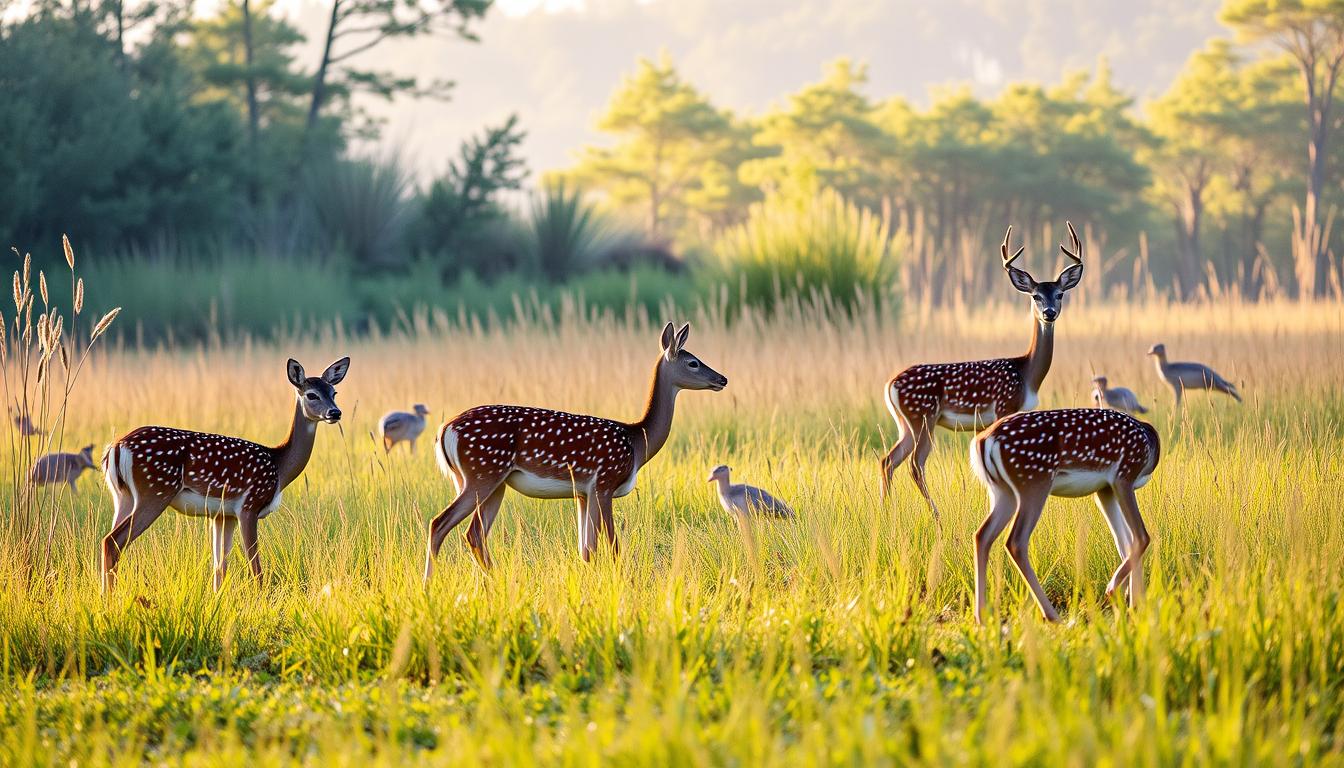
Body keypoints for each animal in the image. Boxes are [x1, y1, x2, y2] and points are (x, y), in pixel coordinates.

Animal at [100, 357, 352, 591]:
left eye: (334, 392)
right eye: (311, 395)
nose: (335, 412)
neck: (278, 466)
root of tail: (116, 447)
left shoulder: (223, 514)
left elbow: (220, 566)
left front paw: (217, 600)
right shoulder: (249, 505)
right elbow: (255, 567)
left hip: (122, 496)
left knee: (107, 542)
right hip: (155, 491)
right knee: (113, 541)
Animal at [424, 321, 731, 581]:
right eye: (693, 362)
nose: (723, 379)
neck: (637, 442)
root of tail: (444, 430)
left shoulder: (583, 493)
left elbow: (586, 550)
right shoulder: (604, 482)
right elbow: (611, 545)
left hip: (490, 482)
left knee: (473, 534)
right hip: (482, 473)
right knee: (441, 523)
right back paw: (431, 584)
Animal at [881, 221, 1080, 516]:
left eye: (1060, 294)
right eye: (1035, 296)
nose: (1049, 313)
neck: (1027, 373)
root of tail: (890, 384)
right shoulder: (1004, 406)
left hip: (905, 423)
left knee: (888, 460)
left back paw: (886, 510)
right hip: (923, 417)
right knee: (915, 463)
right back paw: (936, 515)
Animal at [967, 408, 1166, 624]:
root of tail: (984, 440)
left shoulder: (1104, 490)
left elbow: (1125, 543)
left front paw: (1129, 604)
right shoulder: (1124, 475)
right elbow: (1141, 537)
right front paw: (1121, 596)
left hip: (1002, 491)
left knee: (982, 535)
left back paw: (981, 617)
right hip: (1034, 481)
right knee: (1015, 541)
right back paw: (1053, 616)